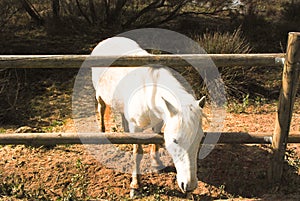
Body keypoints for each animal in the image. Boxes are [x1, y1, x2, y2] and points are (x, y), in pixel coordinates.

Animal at [90, 37, 205, 197]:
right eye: (175, 140)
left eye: (200, 138)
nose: (189, 185)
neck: (148, 92)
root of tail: (107, 40)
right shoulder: (136, 128)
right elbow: (137, 153)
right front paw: (135, 185)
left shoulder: (159, 121)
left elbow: (155, 140)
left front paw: (156, 163)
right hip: (99, 94)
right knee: (101, 109)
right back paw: (101, 130)